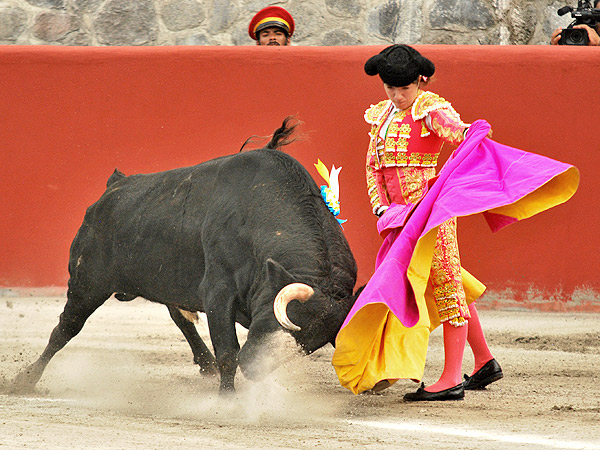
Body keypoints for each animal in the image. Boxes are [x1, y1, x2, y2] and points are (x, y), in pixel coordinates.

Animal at [14, 118, 358, 394]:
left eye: (305, 348)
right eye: (268, 324)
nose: (252, 367)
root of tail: (114, 187)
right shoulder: (218, 291)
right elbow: (227, 351)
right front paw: (227, 399)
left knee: (176, 313)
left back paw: (205, 364)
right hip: (87, 282)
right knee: (65, 329)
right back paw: (25, 380)